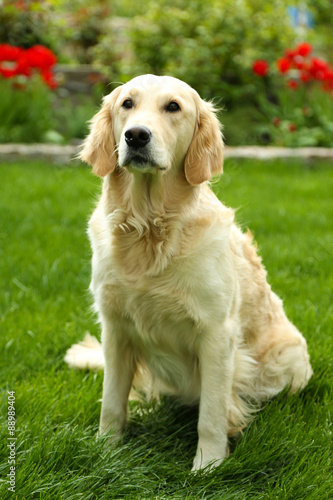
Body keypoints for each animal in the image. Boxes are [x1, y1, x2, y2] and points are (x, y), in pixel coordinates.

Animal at [65, 73, 312, 468]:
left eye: (173, 107)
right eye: (127, 104)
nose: (136, 136)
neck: (149, 229)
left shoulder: (216, 333)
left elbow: (210, 414)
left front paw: (207, 466)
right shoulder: (115, 327)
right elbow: (112, 402)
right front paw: (106, 450)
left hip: (289, 360)